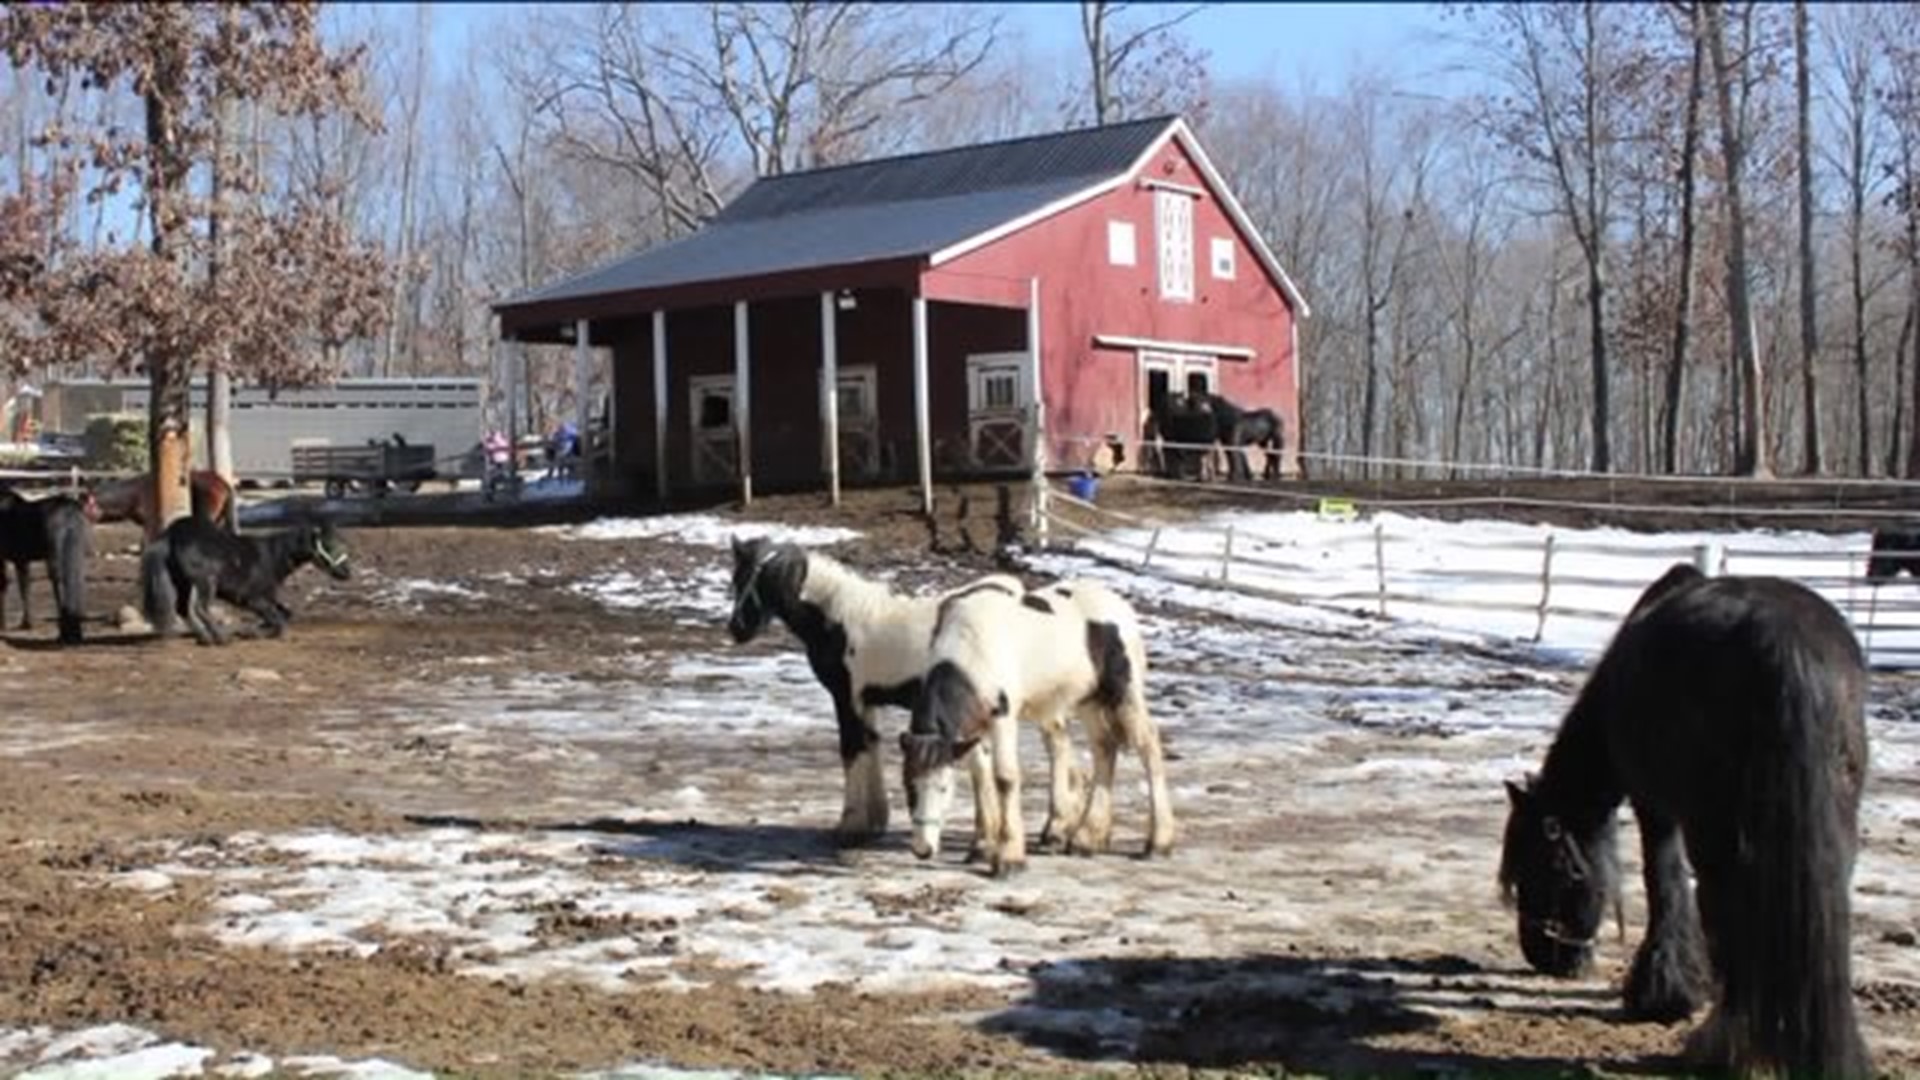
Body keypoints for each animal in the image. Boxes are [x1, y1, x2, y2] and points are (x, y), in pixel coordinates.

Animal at [0, 484, 94, 641]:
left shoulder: (8, 558)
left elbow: (10, 586)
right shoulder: (21, 560)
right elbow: (24, 586)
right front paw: (26, 623)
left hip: (53, 555)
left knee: (58, 581)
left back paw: (65, 631)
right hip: (76, 551)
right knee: (76, 578)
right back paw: (75, 630)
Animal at [144, 511, 355, 638]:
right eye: (328, 544)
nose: (347, 573)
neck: (272, 556)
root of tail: (170, 534)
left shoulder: (268, 597)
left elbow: (285, 614)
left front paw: (258, 628)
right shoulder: (252, 599)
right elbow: (279, 621)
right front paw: (253, 631)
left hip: (181, 581)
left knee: (181, 608)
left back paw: (204, 637)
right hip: (205, 581)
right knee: (200, 608)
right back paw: (220, 637)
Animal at [906, 576, 1175, 868]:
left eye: (943, 788)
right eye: (909, 786)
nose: (923, 849)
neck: (969, 649)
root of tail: (1120, 605)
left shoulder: (1002, 716)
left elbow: (1004, 778)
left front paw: (1009, 857)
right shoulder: (971, 727)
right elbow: (980, 776)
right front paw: (982, 846)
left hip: (1124, 692)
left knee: (1148, 745)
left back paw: (1159, 842)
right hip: (1089, 700)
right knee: (1104, 746)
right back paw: (1086, 838)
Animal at [1489, 564, 1866, 1076]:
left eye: (1540, 868)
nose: (1544, 957)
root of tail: (1784, 647)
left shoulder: (1656, 808)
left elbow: (1663, 882)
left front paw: (1661, 995)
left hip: (1717, 829)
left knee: (1727, 907)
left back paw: (1720, 1047)